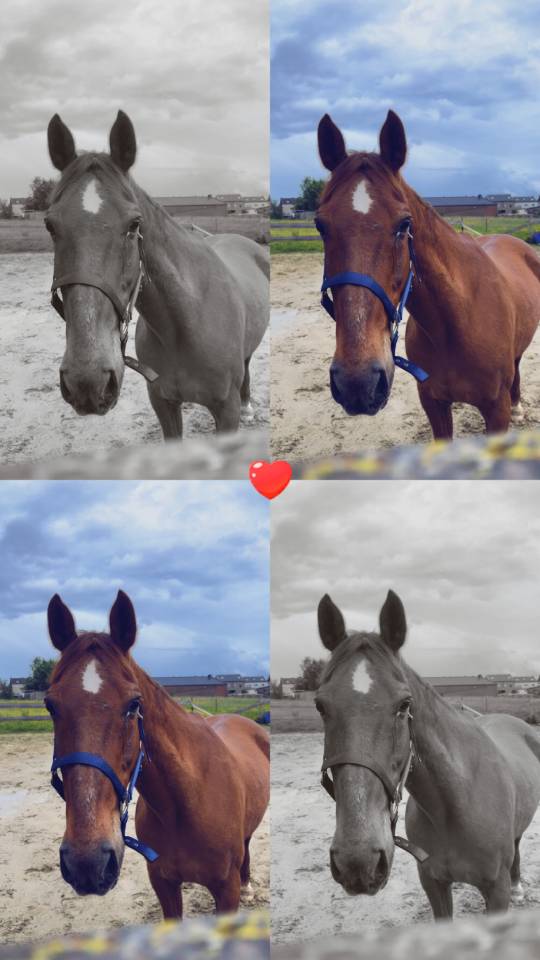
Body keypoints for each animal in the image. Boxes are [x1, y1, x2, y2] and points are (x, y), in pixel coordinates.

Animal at [45, 590, 270, 917]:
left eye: (134, 704)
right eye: (50, 706)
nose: (87, 862)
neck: (186, 803)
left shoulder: (226, 893)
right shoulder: (163, 885)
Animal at [46, 111, 269, 437]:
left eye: (134, 224)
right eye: (50, 225)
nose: (87, 381)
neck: (186, 325)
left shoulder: (226, 414)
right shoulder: (163, 404)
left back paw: (248, 405)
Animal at [316, 110, 540, 439]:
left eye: (404, 224)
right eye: (320, 225)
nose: (357, 382)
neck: (457, 323)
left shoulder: (495, 413)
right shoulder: (433, 404)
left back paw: (518, 406)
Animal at [316, 589, 540, 918]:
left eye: (404, 704)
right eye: (320, 706)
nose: (358, 862)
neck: (456, 805)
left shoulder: (496, 894)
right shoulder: (433, 883)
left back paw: (518, 886)